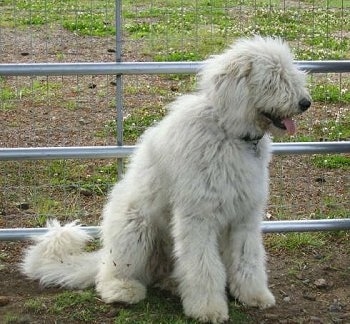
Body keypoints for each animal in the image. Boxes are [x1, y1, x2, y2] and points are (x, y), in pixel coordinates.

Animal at [21, 36, 312, 322]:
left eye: (289, 72)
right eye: (274, 77)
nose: (305, 103)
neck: (229, 133)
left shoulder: (246, 216)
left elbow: (248, 258)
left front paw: (255, 295)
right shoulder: (197, 217)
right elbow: (202, 266)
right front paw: (208, 309)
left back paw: (173, 285)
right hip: (134, 228)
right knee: (110, 273)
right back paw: (123, 290)